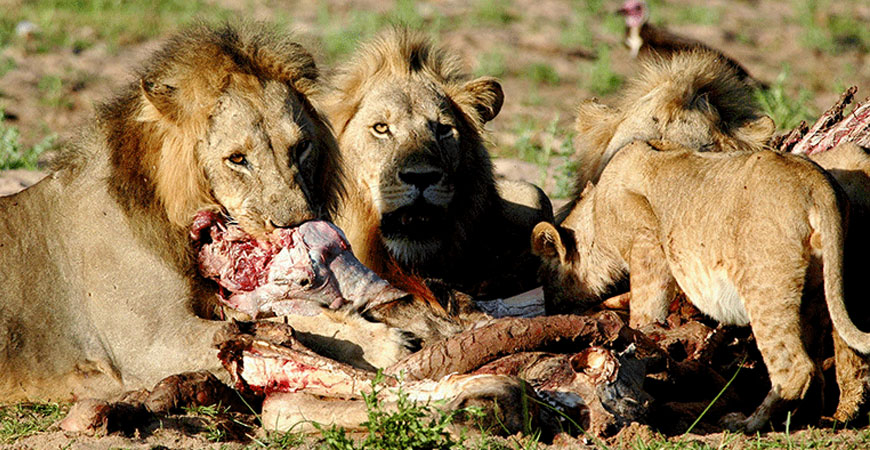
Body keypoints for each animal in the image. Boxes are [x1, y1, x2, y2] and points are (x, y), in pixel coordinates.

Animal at [532, 141, 870, 432]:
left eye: (544, 278)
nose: (548, 310)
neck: (596, 212)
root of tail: (817, 184)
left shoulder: (647, 245)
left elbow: (646, 307)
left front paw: (638, 339)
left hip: (764, 281)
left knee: (795, 367)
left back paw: (747, 423)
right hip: (816, 288)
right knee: (823, 360)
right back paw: (808, 420)